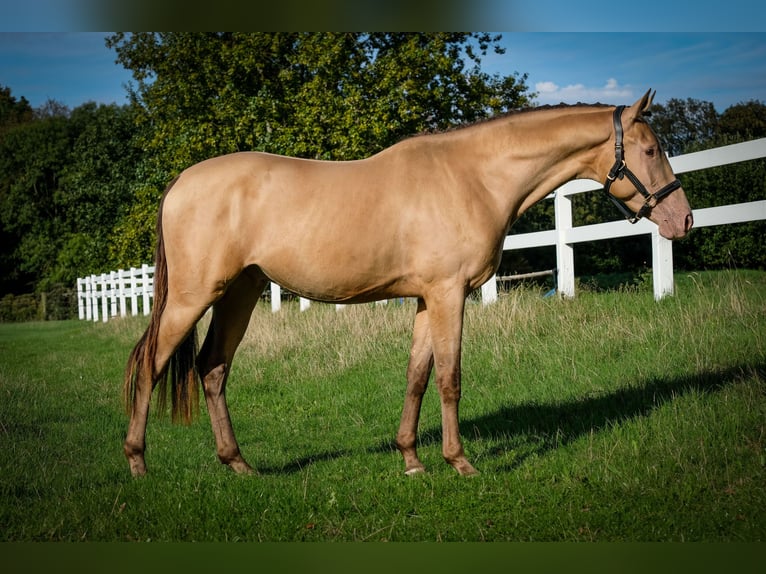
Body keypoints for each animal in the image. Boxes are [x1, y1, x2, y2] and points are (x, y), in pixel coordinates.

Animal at [123, 89, 693, 477]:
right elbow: (450, 377)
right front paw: (460, 462)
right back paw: (137, 463)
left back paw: (238, 464)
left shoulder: (425, 298)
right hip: (193, 297)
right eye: (650, 150)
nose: (683, 220)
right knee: (150, 365)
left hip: (239, 293)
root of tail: (180, 182)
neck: (472, 176)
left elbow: (417, 376)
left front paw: (412, 459)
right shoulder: (448, 294)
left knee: (213, 368)